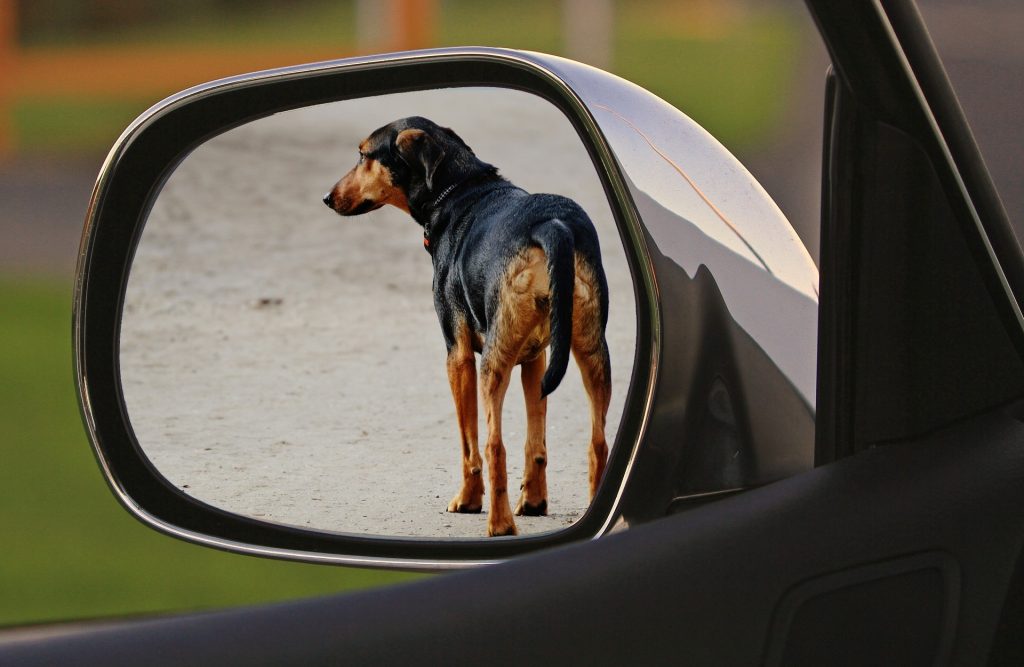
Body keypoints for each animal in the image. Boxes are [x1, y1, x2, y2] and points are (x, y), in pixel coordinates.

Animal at [319, 116, 606, 536]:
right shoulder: (534, 359)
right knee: (597, 442)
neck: (457, 189)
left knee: (493, 445)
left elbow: (469, 442)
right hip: (591, 353)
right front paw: (533, 502)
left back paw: (499, 525)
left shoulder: (457, 357)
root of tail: (551, 226)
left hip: (492, 364)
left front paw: (469, 501)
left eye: (364, 155)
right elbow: (535, 443)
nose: (326, 198)